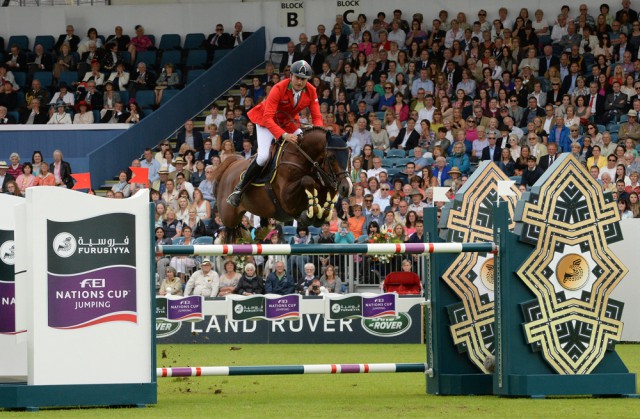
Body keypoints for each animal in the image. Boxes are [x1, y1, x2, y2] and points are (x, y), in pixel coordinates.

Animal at [215, 126, 356, 235]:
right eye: (332, 157)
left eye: (349, 155)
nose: (346, 187)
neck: (303, 159)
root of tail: (232, 164)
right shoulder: (287, 199)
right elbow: (306, 180)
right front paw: (310, 212)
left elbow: (328, 192)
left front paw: (323, 210)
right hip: (229, 216)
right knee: (232, 227)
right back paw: (235, 196)